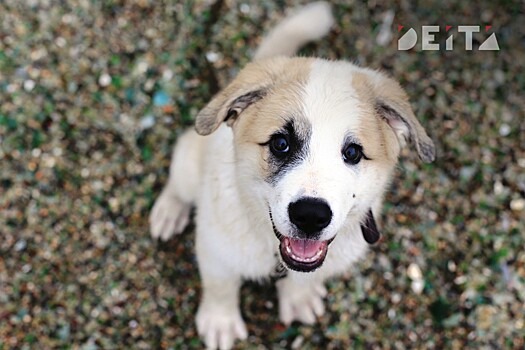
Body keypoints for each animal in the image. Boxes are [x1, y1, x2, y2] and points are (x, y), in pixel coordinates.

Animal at [148, 2, 434, 348]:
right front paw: (220, 321)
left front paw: (298, 298)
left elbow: (302, 280)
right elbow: (220, 285)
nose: (310, 216)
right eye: (281, 144)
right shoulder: (215, 247)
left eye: (352, 153)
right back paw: (169, 211)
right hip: (191, 163)